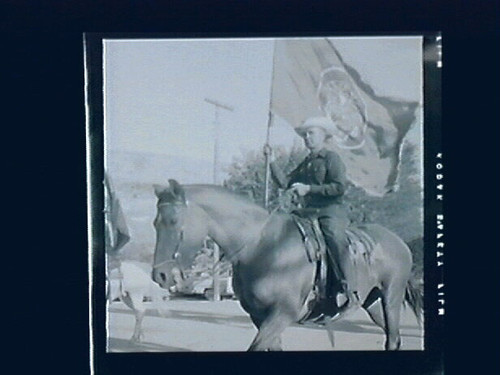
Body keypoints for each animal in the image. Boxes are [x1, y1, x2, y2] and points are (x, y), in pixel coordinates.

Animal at [151, 181, 422, 352]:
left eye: (173, 221)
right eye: (155, 223)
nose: (160, 275)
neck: (264, 247)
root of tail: (399, 241)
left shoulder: (283, 313)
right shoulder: (260, 316)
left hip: (391, 297)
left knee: (393, 338)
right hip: (372, 303)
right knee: (393, 337)